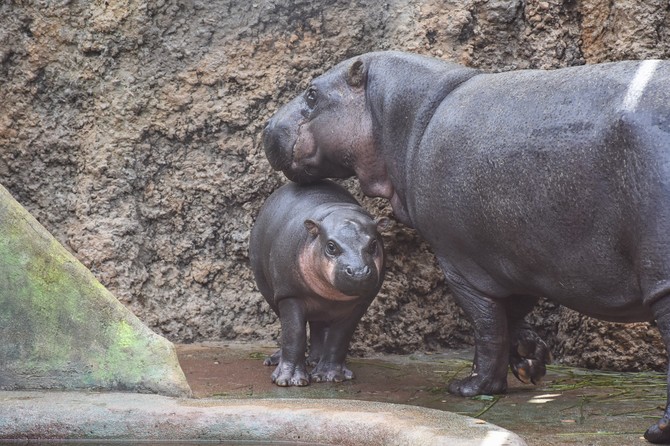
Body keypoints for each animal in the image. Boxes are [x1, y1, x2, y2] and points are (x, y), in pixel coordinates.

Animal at [251, 179, 388, 386]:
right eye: (331, 246)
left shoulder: (361, 303)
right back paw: (274, 360)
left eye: (373, 244)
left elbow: (340, 336)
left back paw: (315, 362)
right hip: (269, 289)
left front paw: (331, 376)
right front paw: (289, 380)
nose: (358, 272)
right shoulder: (289, 294)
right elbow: (294, 332)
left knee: (318, 326)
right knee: (287, 323)